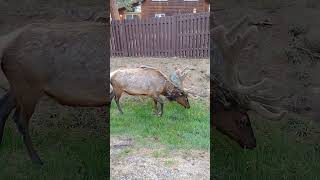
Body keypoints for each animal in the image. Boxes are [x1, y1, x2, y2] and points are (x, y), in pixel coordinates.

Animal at [0, 22, 109, 165]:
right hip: (28, 85)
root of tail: (5, 42)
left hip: (18, 86)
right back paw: (37, 161)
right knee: (20, 119)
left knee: (3, 107)